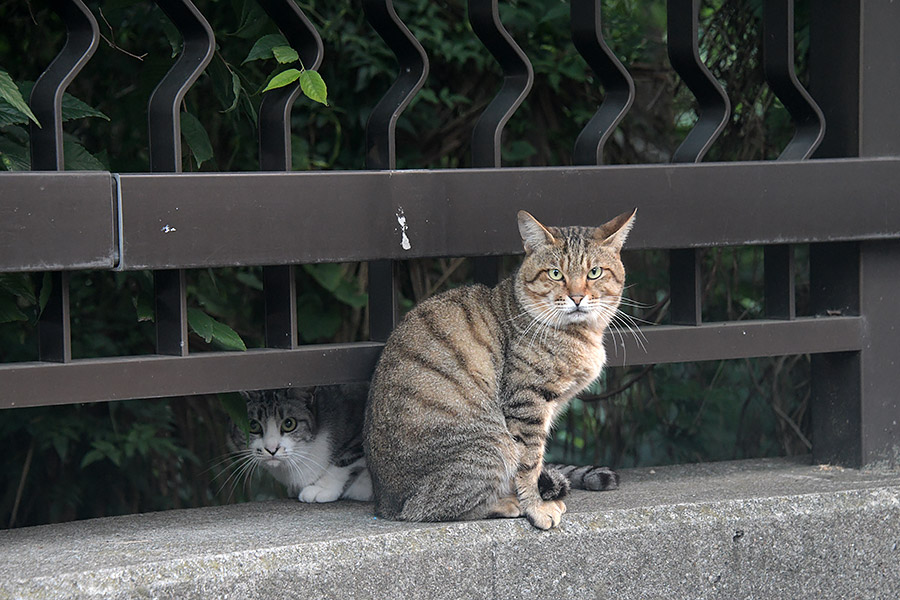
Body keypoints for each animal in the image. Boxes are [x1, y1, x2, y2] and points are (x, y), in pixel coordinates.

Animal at [364, 210, 632, 528]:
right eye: (555, 273)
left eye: (595, 273)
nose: (577, 297)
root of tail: (385, 502)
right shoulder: (527, 403)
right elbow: (529, 463)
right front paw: (536, 507)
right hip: (492, 443)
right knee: (428, 507)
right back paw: (506, 503)